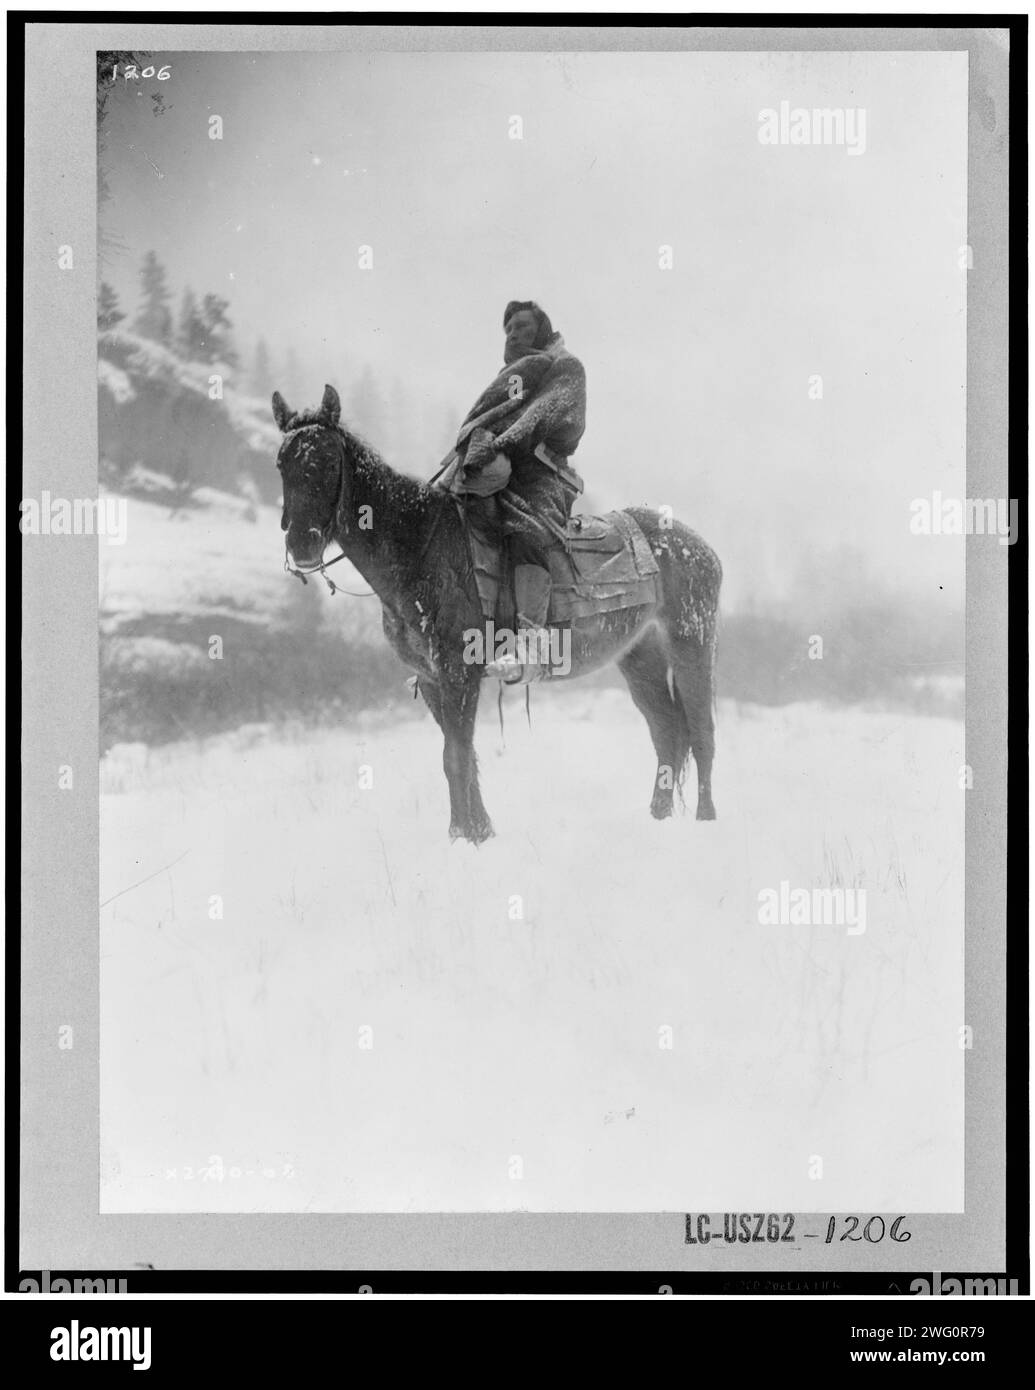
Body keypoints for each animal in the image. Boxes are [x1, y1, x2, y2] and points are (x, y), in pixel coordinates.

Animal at [270, 380, 722, 839]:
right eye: (282, 463)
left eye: (327, 461)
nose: (301, 544)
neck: (420, 547)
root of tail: (699, 546)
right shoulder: (431, 678)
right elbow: (461, 756)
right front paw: (477, 832)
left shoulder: (459, 673)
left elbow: (455, 757)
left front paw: (464, 837)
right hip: (639, 655)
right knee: (666, 730)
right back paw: (658, 817)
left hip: (691, 642)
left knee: (701, 730)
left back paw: (706, 818)